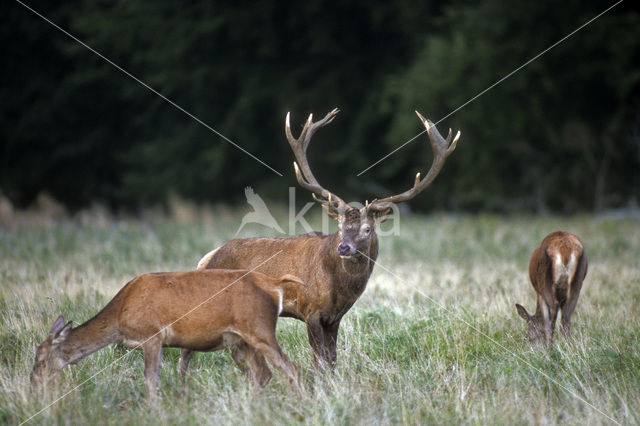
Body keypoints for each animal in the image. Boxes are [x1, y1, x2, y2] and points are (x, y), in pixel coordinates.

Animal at [31, 270, 306, 396]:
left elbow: (150, 380)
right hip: (242, 340)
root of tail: (274, 285)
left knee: (290, 368)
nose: (34, 383)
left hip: (260, 329)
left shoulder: (152, 335)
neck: (121, 314)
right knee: (263, 374)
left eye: (41, 360)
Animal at [185, 110, 460, 372]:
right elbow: (319, 361)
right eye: (339, 227)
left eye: (367, 228)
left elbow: (332, 359)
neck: (338, 289)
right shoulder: (311, 309)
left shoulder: (334, 318)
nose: (344, 247)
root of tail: (207, 259)